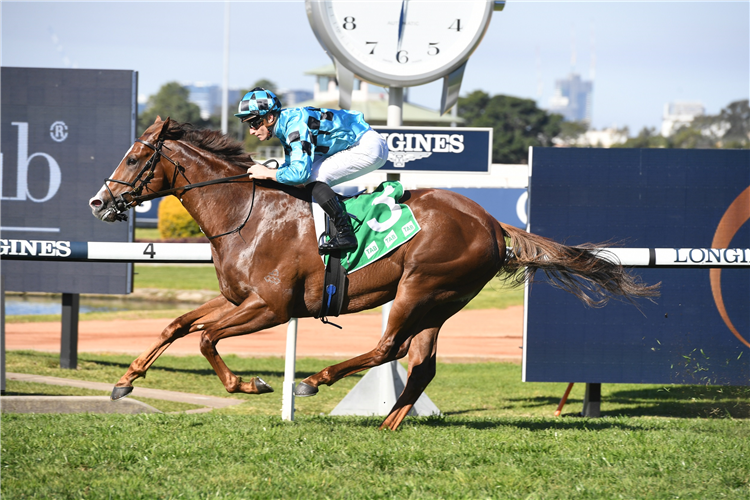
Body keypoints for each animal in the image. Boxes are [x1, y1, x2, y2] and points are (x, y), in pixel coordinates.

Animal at [91, 118, 660, 430]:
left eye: (135, 157)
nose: (99, 202)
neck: (246, 212)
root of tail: (492, 222)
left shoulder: (270, 306)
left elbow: (207, 339)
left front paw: (249, 384)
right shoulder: (237, 299)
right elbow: (179, 325)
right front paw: (124, 381)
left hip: (420, 287)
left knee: (390, 348)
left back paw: (314, 382)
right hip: (441, 301)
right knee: (422, 363)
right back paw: (388, 423)